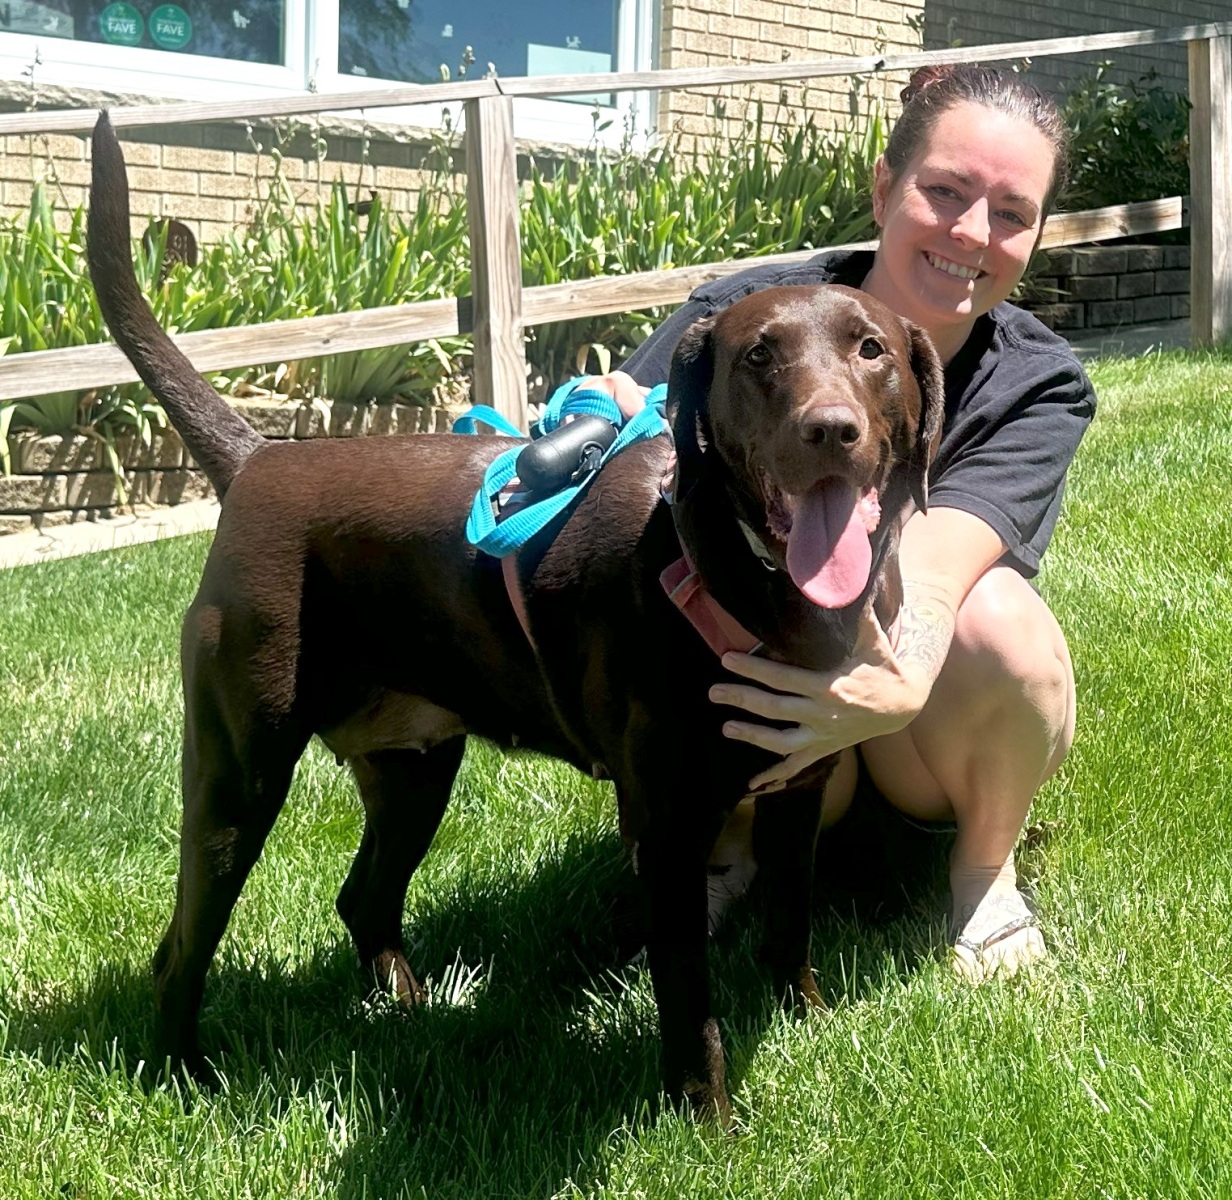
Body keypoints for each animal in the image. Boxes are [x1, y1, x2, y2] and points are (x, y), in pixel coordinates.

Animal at [87, 110, 943, 1122]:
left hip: (414, 769)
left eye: (871, 349)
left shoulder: (798, 789)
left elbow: (791, 924)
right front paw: (707, 1120)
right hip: (239, 775)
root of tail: (258, 458)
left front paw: (805, 1019)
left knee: (362, 900)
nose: (829, 431)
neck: (742, 577)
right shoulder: (668, 830)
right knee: (182, 944)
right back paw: (186, 1073)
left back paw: (409, 1015)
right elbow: (690, 1000)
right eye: (758, 357)